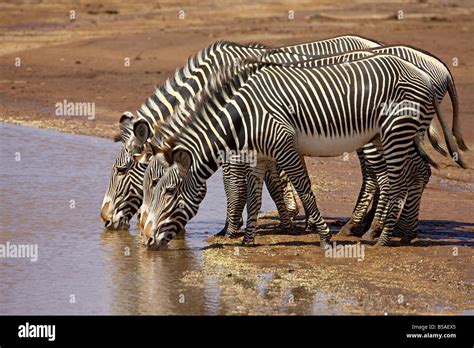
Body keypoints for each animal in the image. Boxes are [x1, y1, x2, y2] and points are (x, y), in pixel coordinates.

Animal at [100, 35, 382, 231]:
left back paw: (358, 225)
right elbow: (271, 179)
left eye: (121, 170)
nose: (105, 220)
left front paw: (231, 228)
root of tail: (373, 42)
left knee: (373, 174)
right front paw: (287, 220)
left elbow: (233, 182)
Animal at [138, 53, 460, 250]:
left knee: (398, 180)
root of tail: (424, 73)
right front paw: (248, 241)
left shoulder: (284, 146)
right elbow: (254, 197)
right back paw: (400, 233)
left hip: (396, 132)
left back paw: (382, 237)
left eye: (169, 191)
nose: (145, 240)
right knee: (415, 172)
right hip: (390, 135)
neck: (243, 117)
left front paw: (324, 236)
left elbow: (304, 188)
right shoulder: (260, 156)